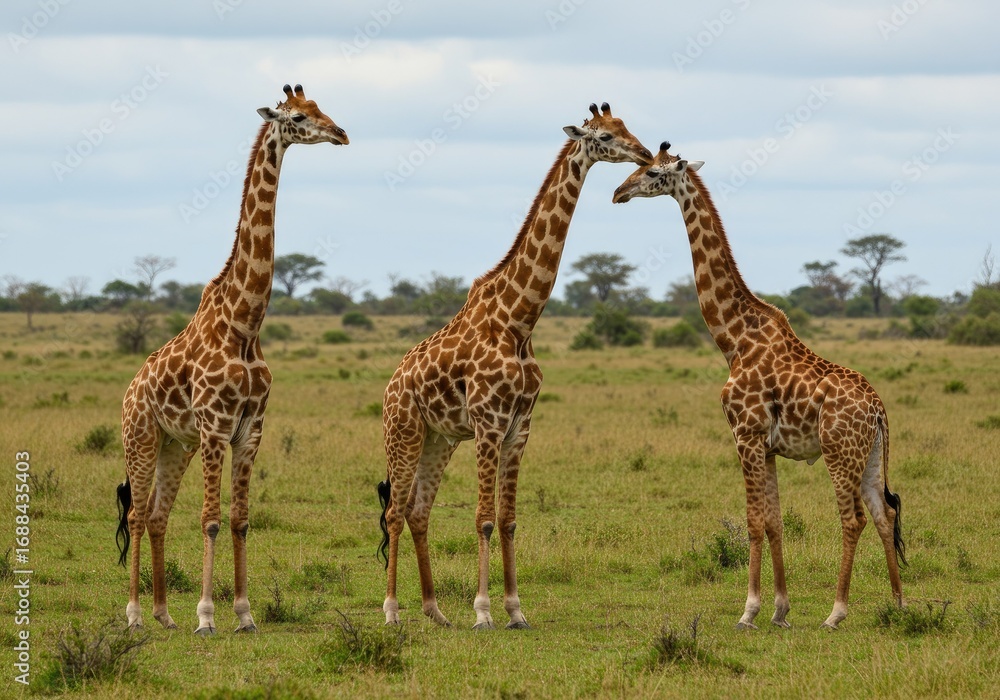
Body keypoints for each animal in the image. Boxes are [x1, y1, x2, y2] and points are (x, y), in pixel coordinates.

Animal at [114, 84, 348, 634]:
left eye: (322, 107)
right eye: (298, 117)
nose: (341, 133)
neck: (245, 324)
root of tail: (129, 390)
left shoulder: (249, 429)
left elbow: (240, 519)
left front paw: (243, 613)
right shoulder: (216, 426)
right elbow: (212, 520)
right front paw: (206, 616)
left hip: (176, 445)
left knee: (156, 515)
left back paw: (163, 614)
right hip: (141, 437)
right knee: (135, 515)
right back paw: (134, 615)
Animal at [377, 103, 652, 629]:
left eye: (630, 127)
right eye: (607, 136)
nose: (647, 154)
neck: (518, 321)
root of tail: (392, 383)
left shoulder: (520, 426)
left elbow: (507, 520)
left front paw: (515, 610)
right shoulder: (488, 423)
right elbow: (483, 518)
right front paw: (483, 612)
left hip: (439, 439)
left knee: (419, 512)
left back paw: (435, 611)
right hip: (403, 430)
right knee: (395, 513)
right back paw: (393, 611)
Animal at [612, 142, 905, 630]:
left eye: (652, 172)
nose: (619, 192)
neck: (734, 339)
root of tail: (879, 409)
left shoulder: (744, 434)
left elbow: (752, 521)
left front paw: (748, 611)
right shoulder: (767, 446)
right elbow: (774, 522)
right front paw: (780, 609)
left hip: (839, 451)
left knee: (853, 520)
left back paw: (836, 612)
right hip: (869, 455)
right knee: (885, 515)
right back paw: (900, 604)